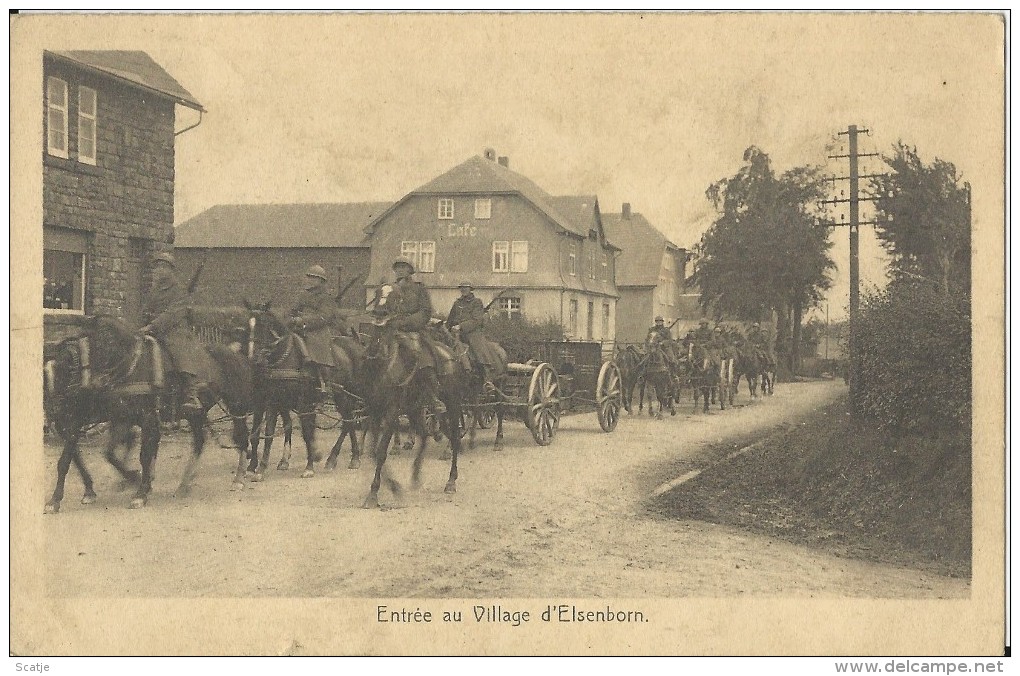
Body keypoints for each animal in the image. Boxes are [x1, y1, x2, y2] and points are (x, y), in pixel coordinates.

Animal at [44, 314, 255, 513]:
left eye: (63, 369)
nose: (53, 412)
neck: (130, 366)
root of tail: (234, 354)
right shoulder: (111, 419)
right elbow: (73, 459)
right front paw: (56, 500)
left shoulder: (145, 418)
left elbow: (144, 455)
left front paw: (140, 492)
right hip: (196, 414)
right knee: (199, 441)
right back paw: (184, 484)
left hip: (236, 406)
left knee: (242, 437)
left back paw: (239, 477)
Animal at [359, 283, 469, 507]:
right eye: (377, 293)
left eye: (396, 297)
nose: (380, 314)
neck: (382, 364)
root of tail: (452, 355)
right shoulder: (374, 411)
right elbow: (374, 450)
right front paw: (392, 486)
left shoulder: (391, 412)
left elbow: (381, 451)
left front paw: (375, 493)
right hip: (415, 408)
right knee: (425, 434)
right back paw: (416, 475)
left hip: (452, 406)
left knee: (454, 437)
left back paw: (451, 481)